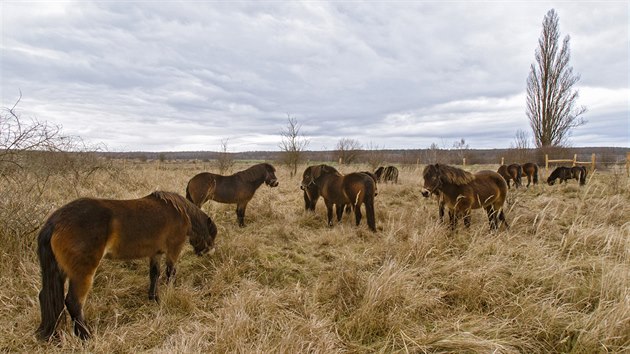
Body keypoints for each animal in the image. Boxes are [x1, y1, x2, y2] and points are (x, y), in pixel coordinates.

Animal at [38, 192, 220, 342]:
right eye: (212, 234)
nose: (209, 252)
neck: (181, 212)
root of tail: (55, 222)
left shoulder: (156, 253)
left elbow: (154, 274)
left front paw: (154, 298)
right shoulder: (173, 250)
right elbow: (170, 273)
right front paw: (170, 292)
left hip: (60, 272)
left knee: (46, 297)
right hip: (82, 274)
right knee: (74, 302)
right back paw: (86, 336)